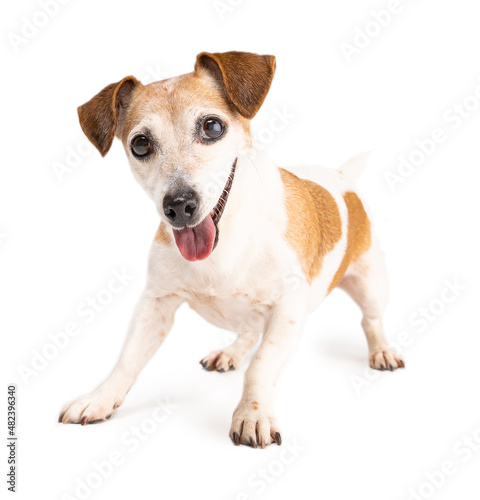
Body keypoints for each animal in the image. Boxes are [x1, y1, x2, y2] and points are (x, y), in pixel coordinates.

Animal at [60, 51, 404, 450]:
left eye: (212, 127)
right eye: (140, 144)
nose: (179, 205)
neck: (223, 245)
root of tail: (342, 177)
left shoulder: (287, 312)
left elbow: (261, 366)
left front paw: (252, 415)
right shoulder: (156, 304)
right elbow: (127, 359)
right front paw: (100, 398)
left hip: (371, 283)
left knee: (370, 320)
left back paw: (382, 351)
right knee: (248, 332)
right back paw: (231, 352)